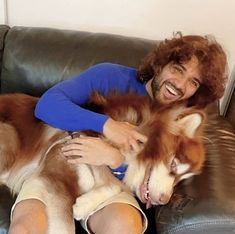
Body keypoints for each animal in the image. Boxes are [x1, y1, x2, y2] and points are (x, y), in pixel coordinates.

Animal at [0, 93, 206, 234]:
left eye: (181, 180)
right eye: (173, 165)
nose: (163, 200)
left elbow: (113, 183)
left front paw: (84, 204)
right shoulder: (56, 178)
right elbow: (64, 228)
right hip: (9, 135)